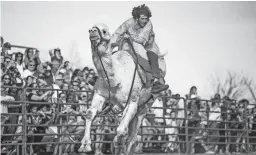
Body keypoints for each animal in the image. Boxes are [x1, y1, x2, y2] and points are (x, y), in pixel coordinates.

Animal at [79, 23, 168, 155]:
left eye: (104, 31)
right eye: (90, 29)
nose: (93, 32)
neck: (116, 79)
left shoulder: (133, 101)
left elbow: (121, 131)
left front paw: (117, 141)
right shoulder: (100, 95)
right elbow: (90, 113)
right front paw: (85, 145)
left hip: (147, 104)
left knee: (134, 134)